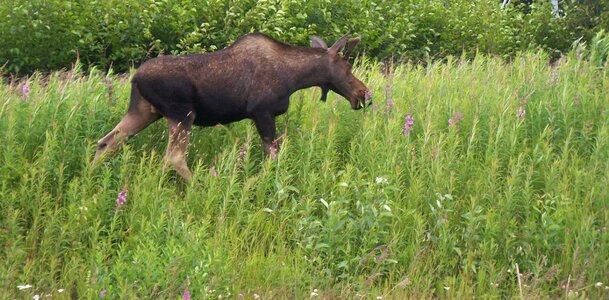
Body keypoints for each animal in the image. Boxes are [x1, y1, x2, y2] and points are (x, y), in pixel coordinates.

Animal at [94, 32, 370, 180]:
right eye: (347, 66)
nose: (364, 93)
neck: (295, 78)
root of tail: (135, 78)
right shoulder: (262, 111)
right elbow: (272, 158)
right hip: (182, 113)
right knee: (174, 157)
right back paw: (201, 188)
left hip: (143, 111)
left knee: (106, 142)